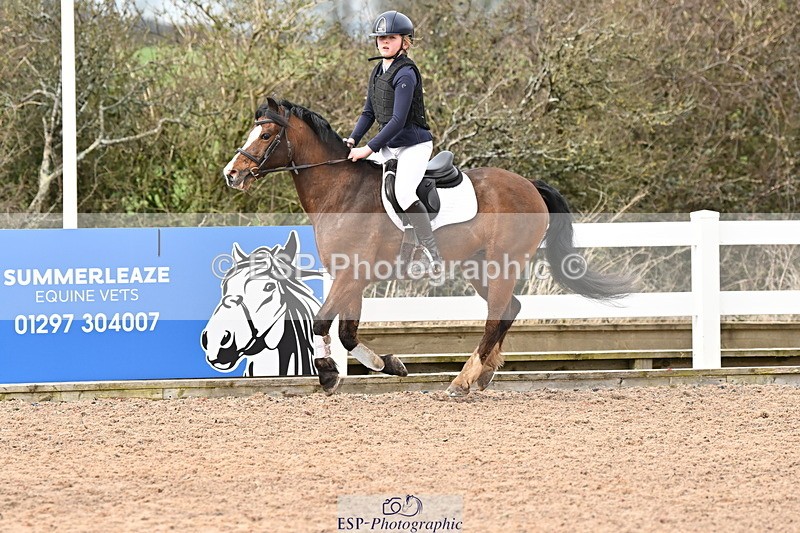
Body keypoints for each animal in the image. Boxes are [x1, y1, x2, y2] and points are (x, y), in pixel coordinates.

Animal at [223, 97, 632, 396]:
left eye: (265, 135)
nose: (232, 174)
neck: (341, 191)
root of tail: (529, 185)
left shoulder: (351, 274)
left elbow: (322, 322)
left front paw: (327, 375)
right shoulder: (350, 276)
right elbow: (346, 333)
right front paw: (388, 365)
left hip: (503, 263)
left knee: (497, 315)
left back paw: (463, 380)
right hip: (477, 266)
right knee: (509, 309)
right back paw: (483, 374)